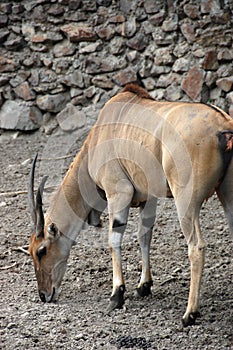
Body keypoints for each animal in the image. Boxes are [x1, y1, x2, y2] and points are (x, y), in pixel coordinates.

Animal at [29, 83, 233, 326]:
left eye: (41, 250)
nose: (44, 295)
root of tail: (223, 126)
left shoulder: (118, 193)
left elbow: (113, 239)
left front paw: (117, 294)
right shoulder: (149, 198)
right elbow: (144, 235)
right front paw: (144, 286)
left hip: (186, 202)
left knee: (196, 247)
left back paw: (189, 314)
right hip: (227, 195)